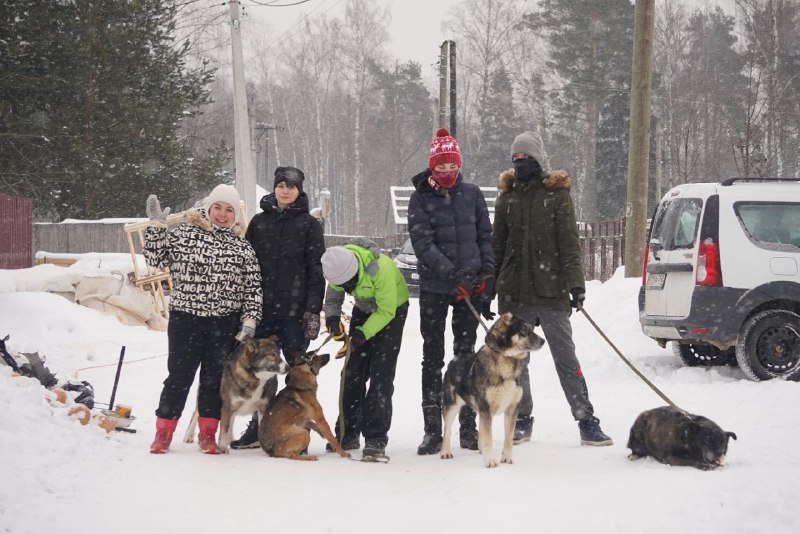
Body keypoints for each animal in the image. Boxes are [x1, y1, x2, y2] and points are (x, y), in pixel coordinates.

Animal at [440, 314, 548, 468]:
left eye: (531, 328)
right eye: (524, 330)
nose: (543, 341)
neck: (506, 358)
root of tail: (454, 360)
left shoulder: (512, 408)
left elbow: (508, 438)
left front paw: (507, 458)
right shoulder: (486, 408)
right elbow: (488, 438)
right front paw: (490, 460)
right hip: (451, 405)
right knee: (447, 429)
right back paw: (445, 452)